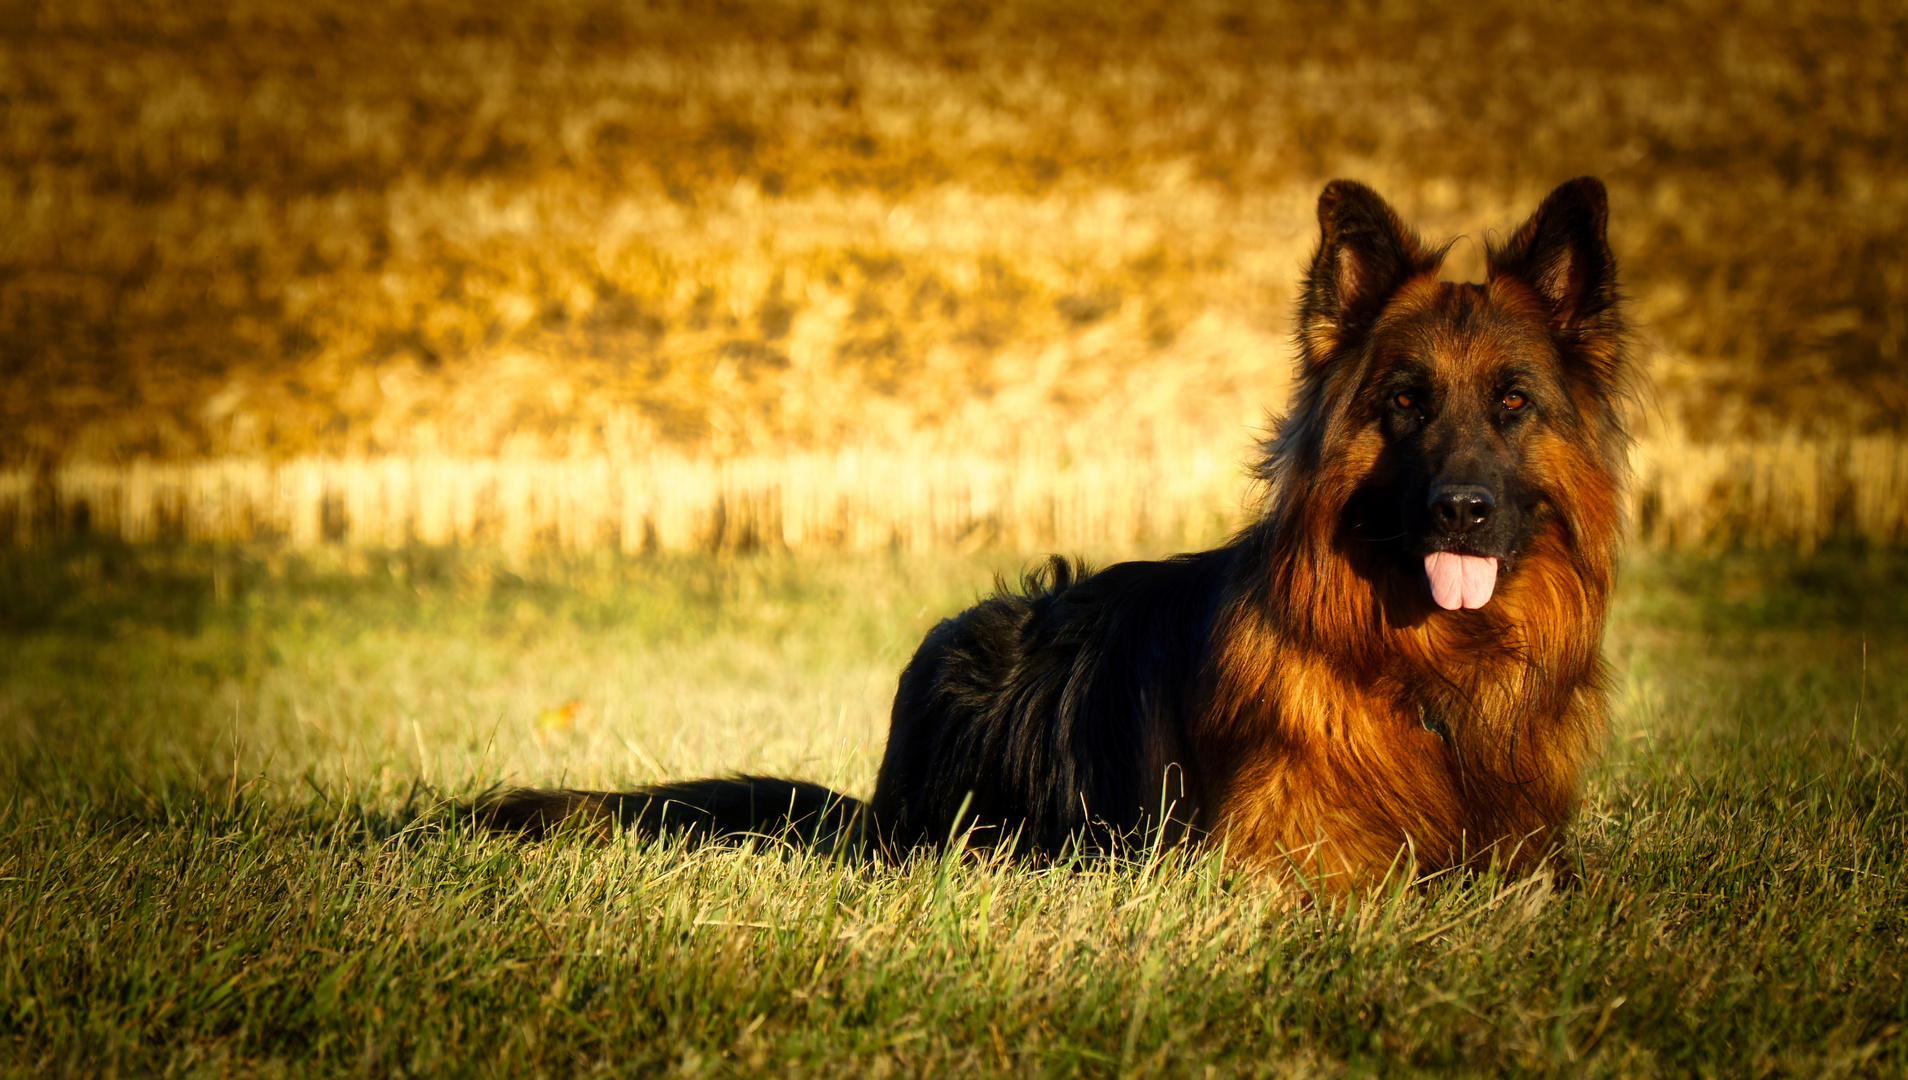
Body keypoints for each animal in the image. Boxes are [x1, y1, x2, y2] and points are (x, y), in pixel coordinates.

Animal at [477, 175, 1625, 889]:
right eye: (1404, 403)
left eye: (1513, 403)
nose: (1462, 510)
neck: (1426, 675)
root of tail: (880, 801)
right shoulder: (1286, 864)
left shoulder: (1534, 858)